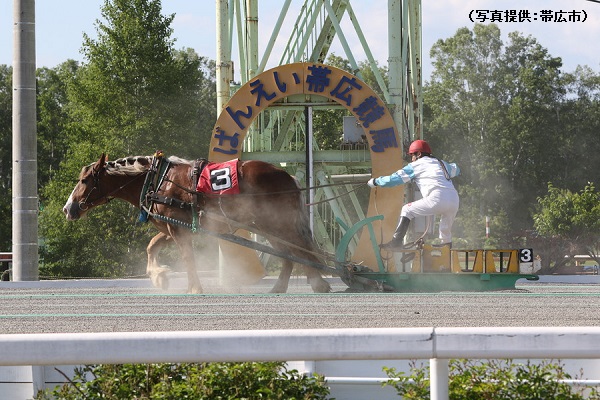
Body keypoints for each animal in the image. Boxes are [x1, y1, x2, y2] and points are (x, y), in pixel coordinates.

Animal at [63, 154, 330, 294]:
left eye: (84, 180)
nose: (68, 208)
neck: (159, 180)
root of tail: (288, 176)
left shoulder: (178, 230)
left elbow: (187, 257)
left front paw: (193, 287)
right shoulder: (172, 227)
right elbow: (152, 246)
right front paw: (159, 276)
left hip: (276, 224)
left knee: (298, 250)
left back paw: (316, 282)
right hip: (269, 226)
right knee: (291, 253)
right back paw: (285, 285)